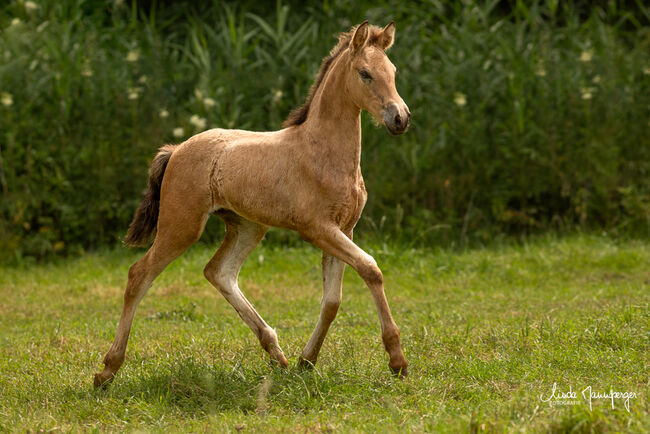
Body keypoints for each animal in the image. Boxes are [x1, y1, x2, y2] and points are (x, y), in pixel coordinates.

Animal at [95, 20, 410, 388]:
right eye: (364, 73)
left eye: (393, 71)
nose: (400, 118)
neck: (321, 152)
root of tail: (175, 150)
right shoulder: (318, 229)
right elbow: (371, 268)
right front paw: (397, 360)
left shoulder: (344, 229)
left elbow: (332, 300)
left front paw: (306, 361)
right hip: (181, 227)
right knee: (139, 275)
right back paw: (107, 370)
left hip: (247, 226)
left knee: (219, 272)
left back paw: (279, 356)